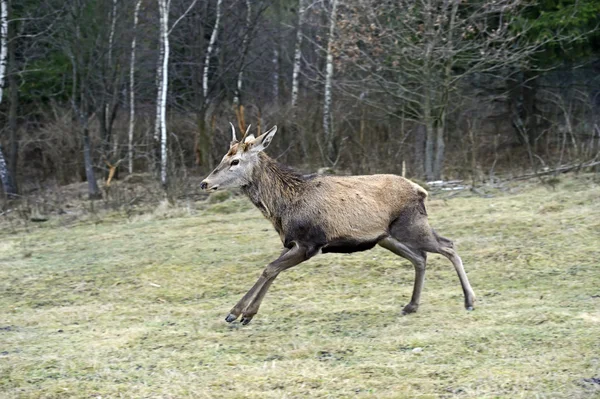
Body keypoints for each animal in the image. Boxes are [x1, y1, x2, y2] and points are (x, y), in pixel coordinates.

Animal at [200, 124, 474, 324]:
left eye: (235, 161)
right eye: (224, 157)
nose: (204, 183)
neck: (281, 208)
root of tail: (421, 191)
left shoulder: (310, 243)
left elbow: (270, 269)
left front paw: (239, 313)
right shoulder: (291, 242)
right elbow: (271, 269)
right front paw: (242, 313)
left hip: (412, 225)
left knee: (448, 246)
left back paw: (469, 300)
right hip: (388, 237)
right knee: (420, 258)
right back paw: (411, 305)